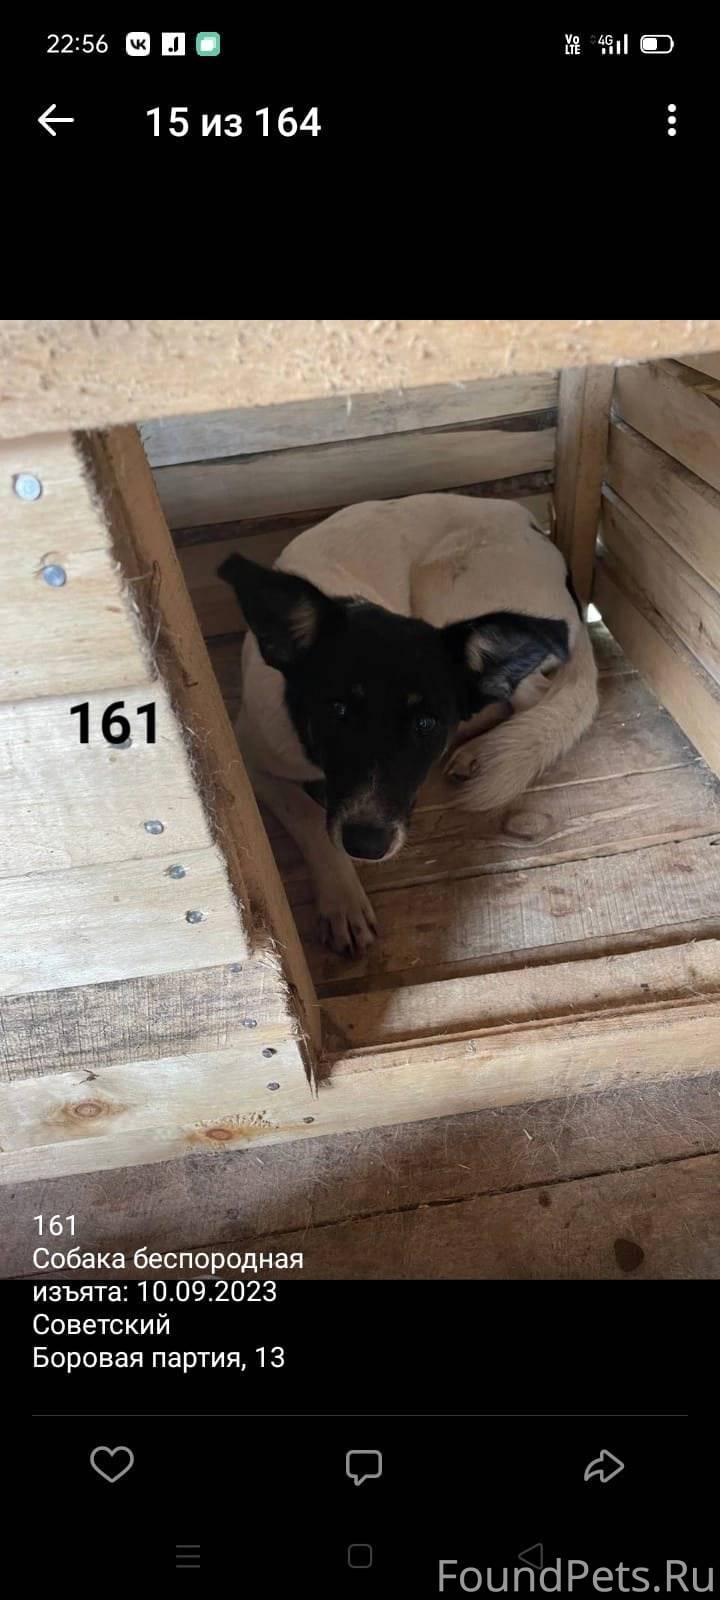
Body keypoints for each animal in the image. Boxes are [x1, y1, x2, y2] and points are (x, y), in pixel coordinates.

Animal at [218, 494, 598, 955]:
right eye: (337, 710)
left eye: (425, 724)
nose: (366, 845)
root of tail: (530, 523)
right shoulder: (250, 756)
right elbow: (308, 815)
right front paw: (342, 895)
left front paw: (342, 898)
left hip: (447, 592)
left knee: (531, 695)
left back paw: (479, 749)